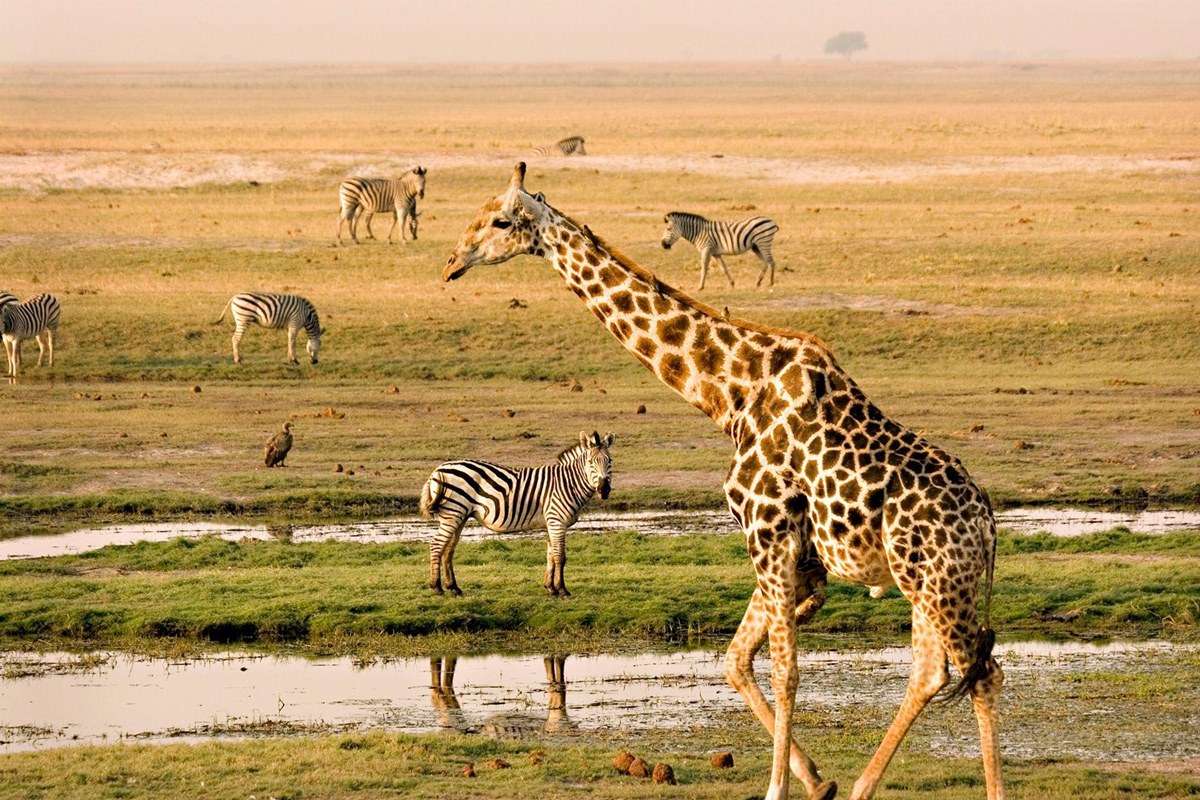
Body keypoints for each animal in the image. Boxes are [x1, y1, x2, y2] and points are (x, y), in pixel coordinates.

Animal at [420, 431, 614, 594]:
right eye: (590, 462)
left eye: (609, 461)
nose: (604, 489)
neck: (568, 483)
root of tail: (437, 470)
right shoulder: (557, 521)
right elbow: (560, 556)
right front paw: (562, 589)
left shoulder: (551, 523)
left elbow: (550, 555)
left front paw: (550, 588)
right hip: (453, 513)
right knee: (436, 545)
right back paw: (436, 587)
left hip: (459, 515)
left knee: (448, 549)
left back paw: (453, 587)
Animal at [441, 164, 1003, 800]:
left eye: (499, 221)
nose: (453, 261)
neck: (729, 395)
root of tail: (987, 523)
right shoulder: (788, 552)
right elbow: (735, 661)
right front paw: (817, 781)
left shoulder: (769, 531)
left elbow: (784, 672)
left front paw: (779, 788)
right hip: (925, 584)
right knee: (935, 672)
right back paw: (861, 786)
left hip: (936, 582)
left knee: (980, 673)